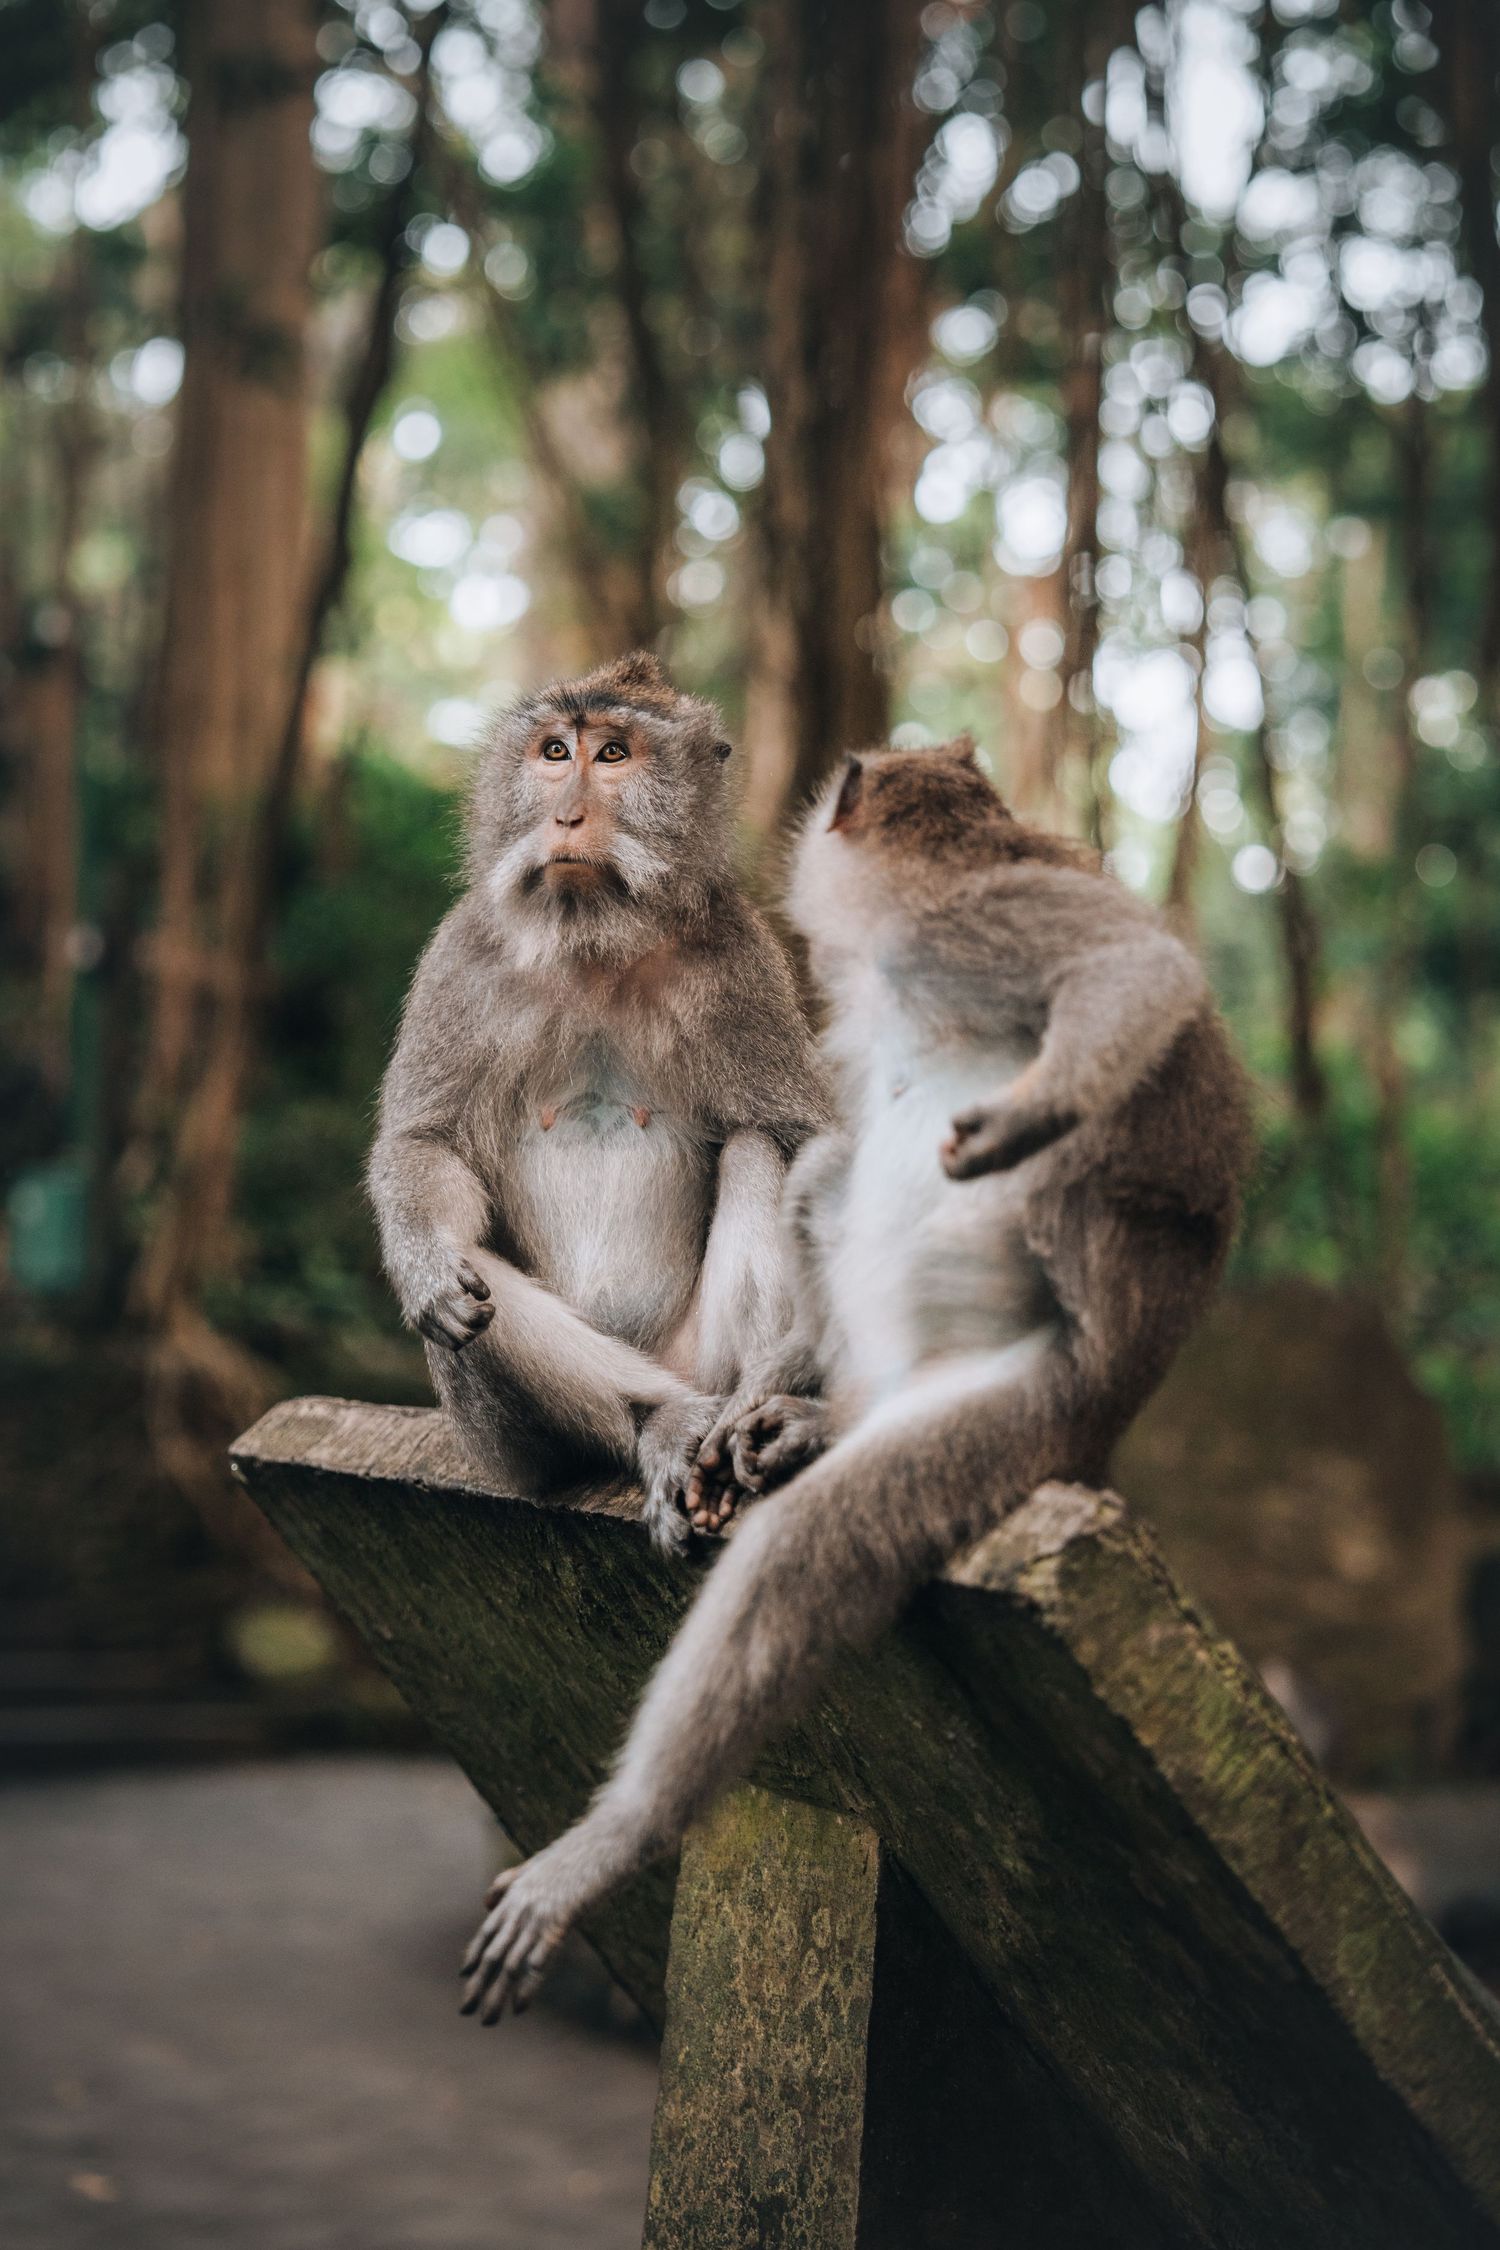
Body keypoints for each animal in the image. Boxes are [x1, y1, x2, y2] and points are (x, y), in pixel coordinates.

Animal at [367, 650, 827, 1547]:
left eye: (613, 754)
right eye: (554, 752)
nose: (568, 816)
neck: (592, 941)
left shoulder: (739, 960)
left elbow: (800, 1137)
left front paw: (788, 1389)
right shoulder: (461, 956)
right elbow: (425, 1144)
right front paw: (424, 1261)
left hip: (698, 1352)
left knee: (761, 1150)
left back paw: (744, 1424)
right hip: (507, 1447)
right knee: (474, 1294)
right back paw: (661, 1424)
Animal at [459, 735, 1254, 2021]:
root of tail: (1105, 1419)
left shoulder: (962, 926)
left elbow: (1135, 972)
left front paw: (1038, 1114)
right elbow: (820, 1145)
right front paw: (753, 1398)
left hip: (1014, 1402)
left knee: (809, 1553)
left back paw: (623, 1829)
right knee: (824, 1167)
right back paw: (804, 1414)